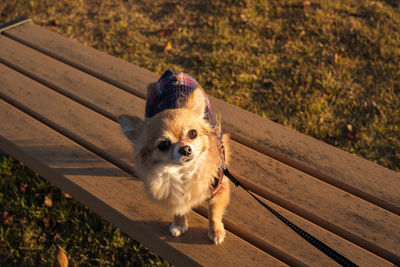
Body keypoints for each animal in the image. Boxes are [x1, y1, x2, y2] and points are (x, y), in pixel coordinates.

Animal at [119, 69, 230, 245]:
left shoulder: (219, 186)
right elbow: (179, 207)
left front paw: (216, 231)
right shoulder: (174, 193)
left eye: (193, 133)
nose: (185, 149)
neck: (183, 173)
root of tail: (172, 73)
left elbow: (214, 213)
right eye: (163, 145)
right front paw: (179, 223)